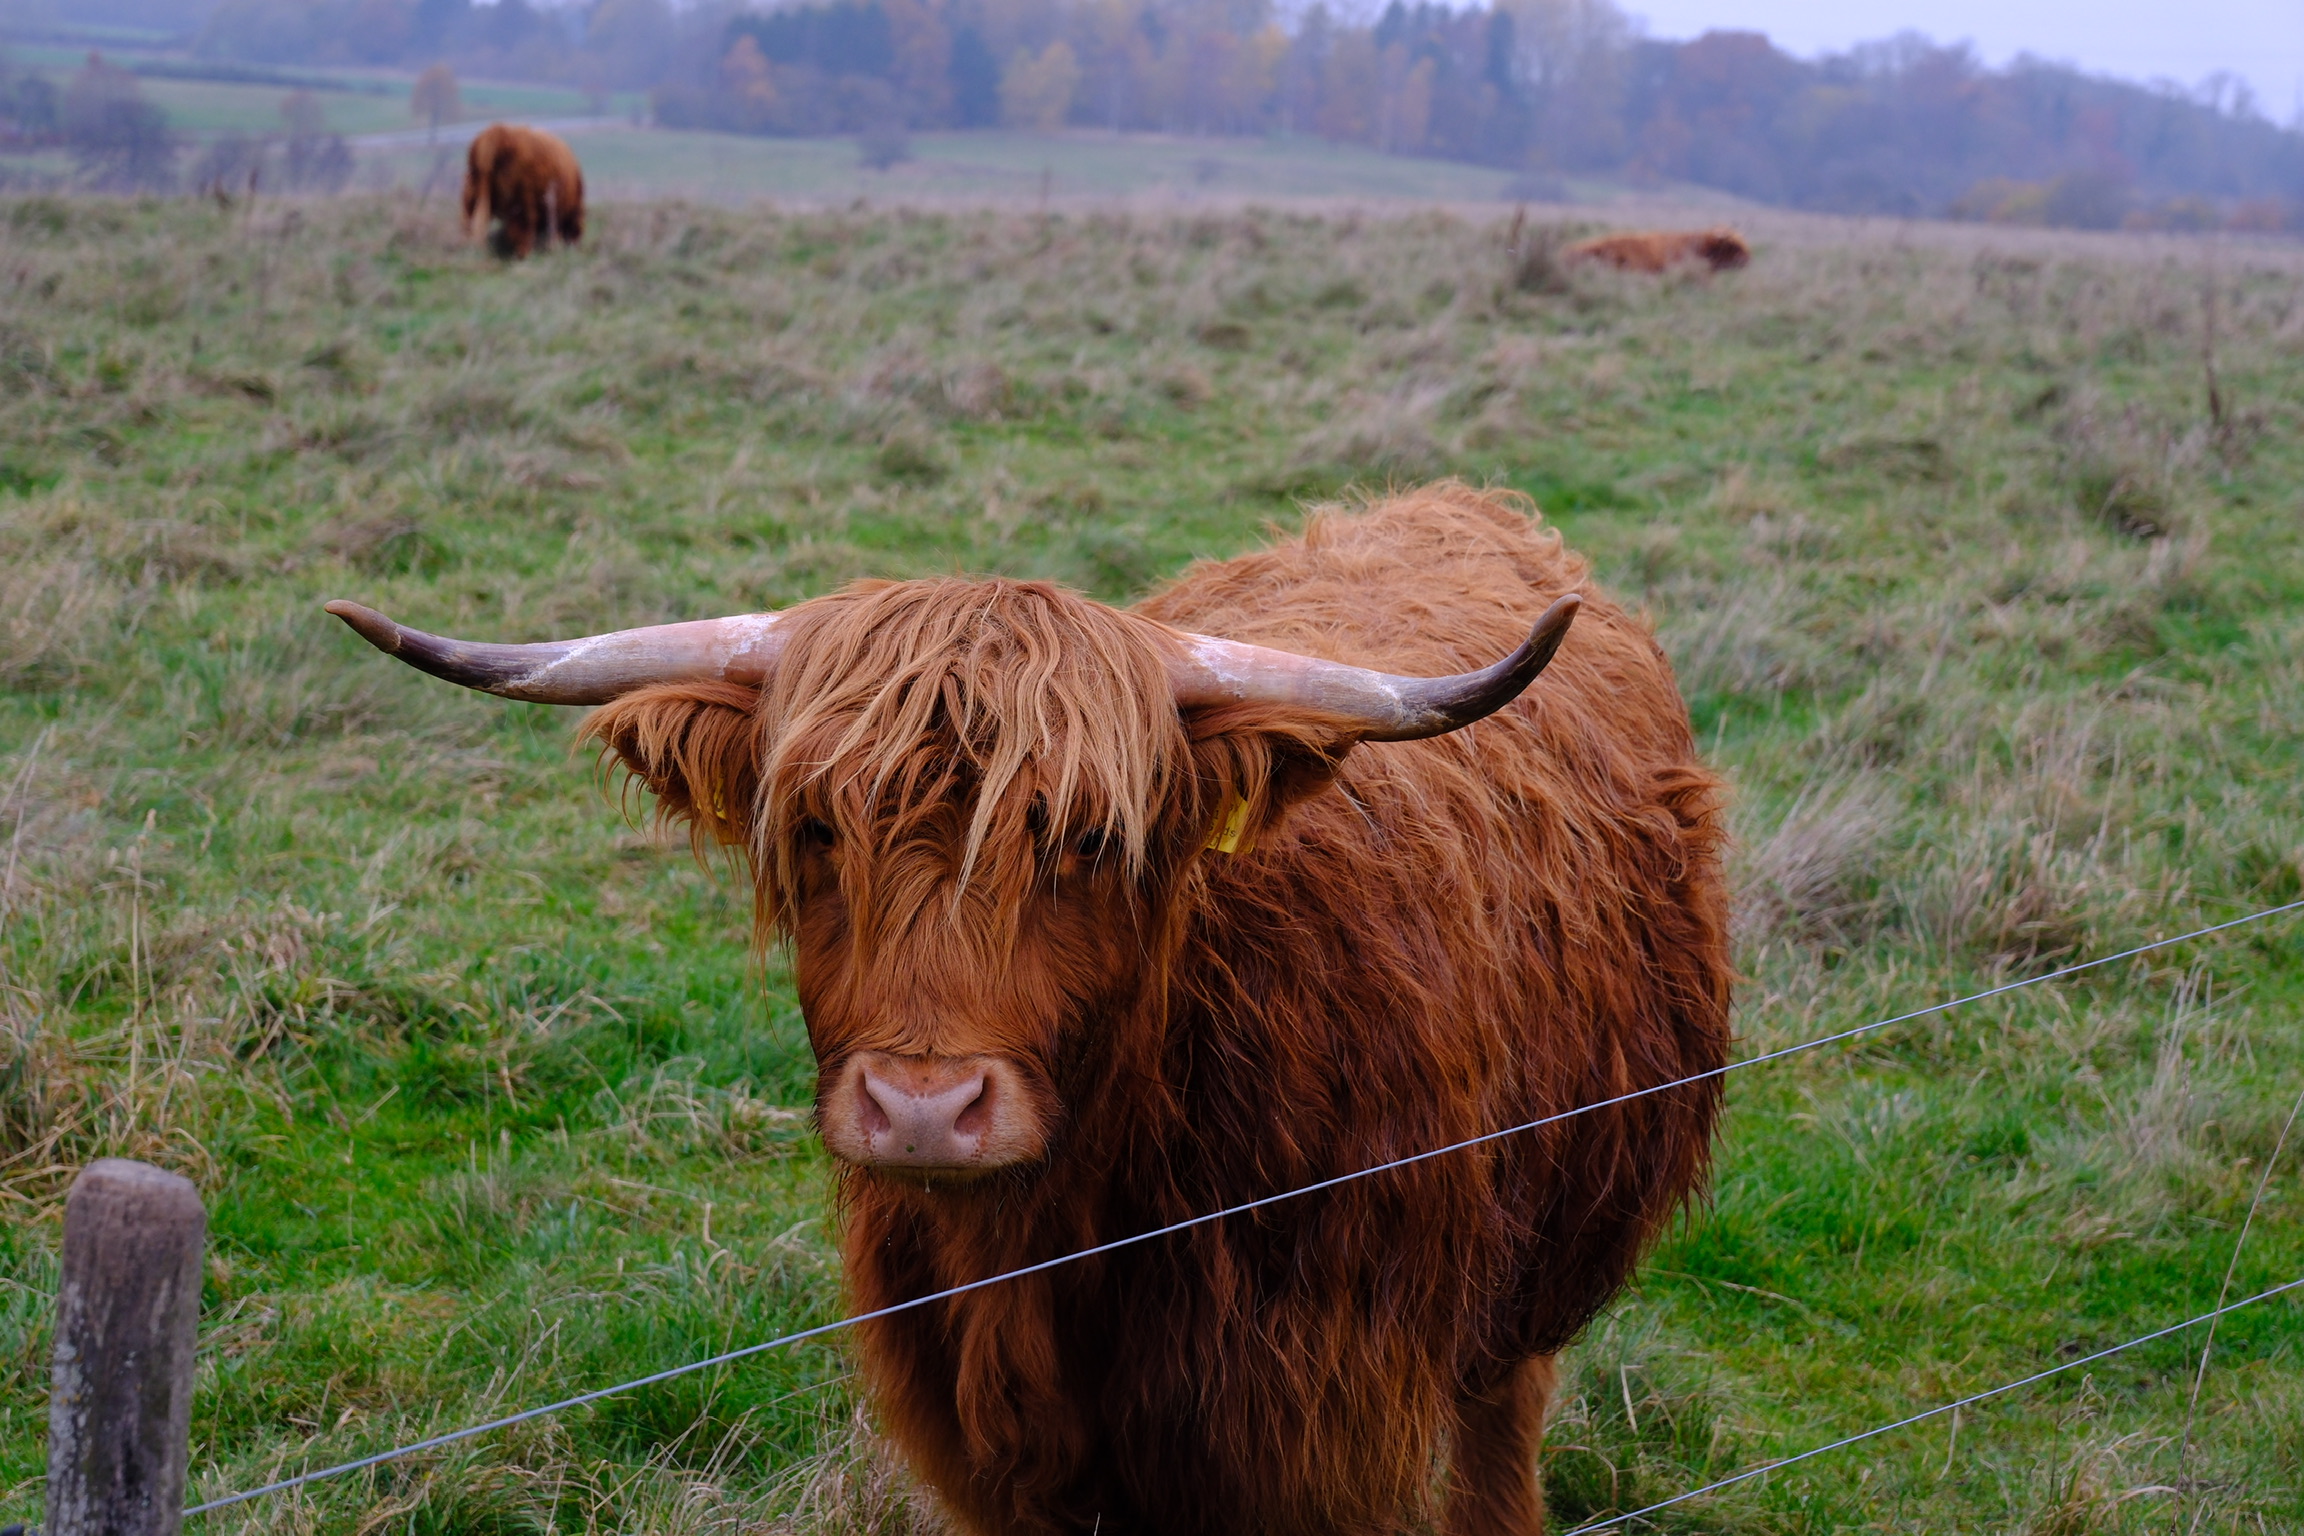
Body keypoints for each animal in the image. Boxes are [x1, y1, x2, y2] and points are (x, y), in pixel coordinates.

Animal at [462, 123, 584, 258]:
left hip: (472, 190)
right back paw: (523, 253)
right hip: (520, 200)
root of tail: (495, 135)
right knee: (522, 227)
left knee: (470, 221)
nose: (575, 245)